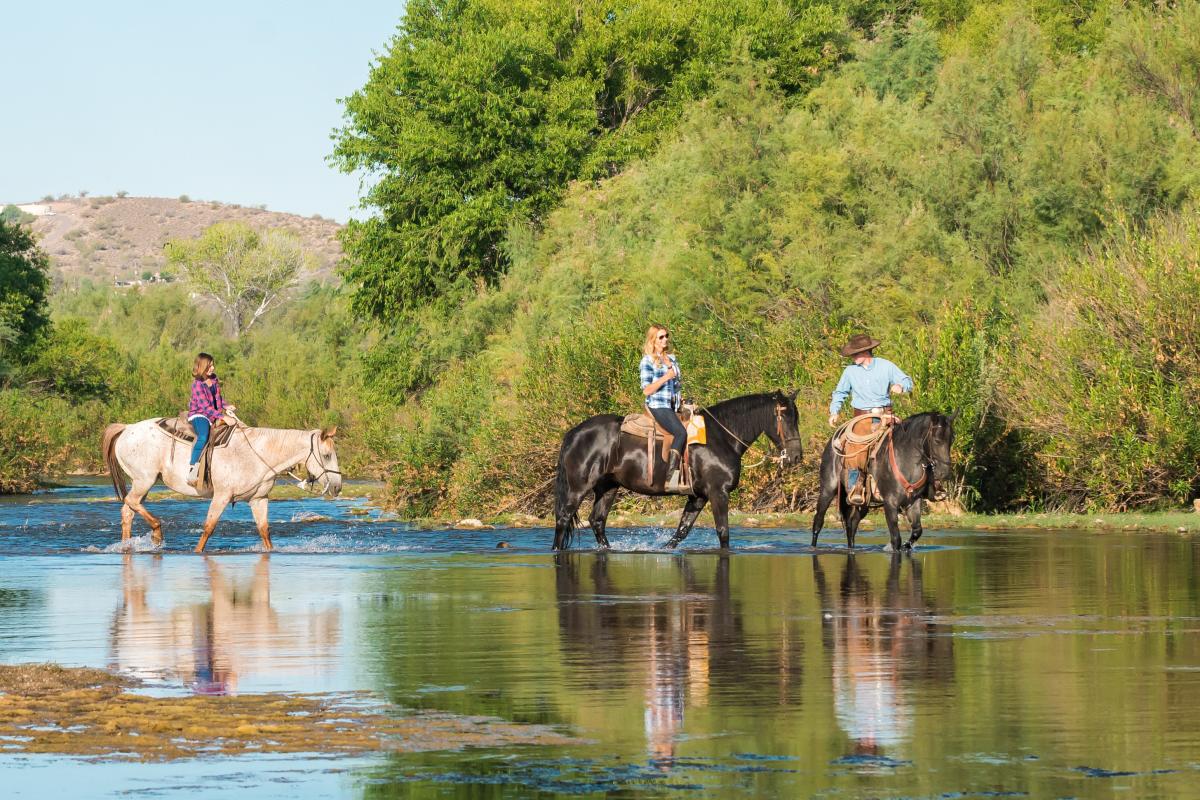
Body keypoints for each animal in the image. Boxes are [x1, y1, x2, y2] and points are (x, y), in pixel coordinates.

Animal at [102, 422, 343, 554]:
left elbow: (264, 531)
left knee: (127, 511)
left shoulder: (259, 499)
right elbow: (209, 527)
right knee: (131, 503)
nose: (337, 487)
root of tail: (126, 428)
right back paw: (157, 534)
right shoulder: (222, 496)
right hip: (145, 480)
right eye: (327, 455)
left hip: (142, 483)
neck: (257, 453)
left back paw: (127, 546)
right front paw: (197, 551)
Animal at [554, 393, 801, 551]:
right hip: (578, 488)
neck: (721, 438)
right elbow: (723, 531)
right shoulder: (718, 493)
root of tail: (574, 433)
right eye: (785, 418)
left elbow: (682, 530)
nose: (796, 456)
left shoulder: (698, 496)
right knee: (564, 518)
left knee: (597, 521)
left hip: (608, 487)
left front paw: (665, 548)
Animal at [811, 410, 960, 554]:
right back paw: (813, 548)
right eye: (937, 440)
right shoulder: (890, 503)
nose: (945, 472)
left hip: (864, 503)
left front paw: (907, 546)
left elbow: (917, 531)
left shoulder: (914, 501)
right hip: (827, 490)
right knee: (818, 522)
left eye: (952, 439)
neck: (905, 459)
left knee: (851, 525)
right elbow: (896, 538)